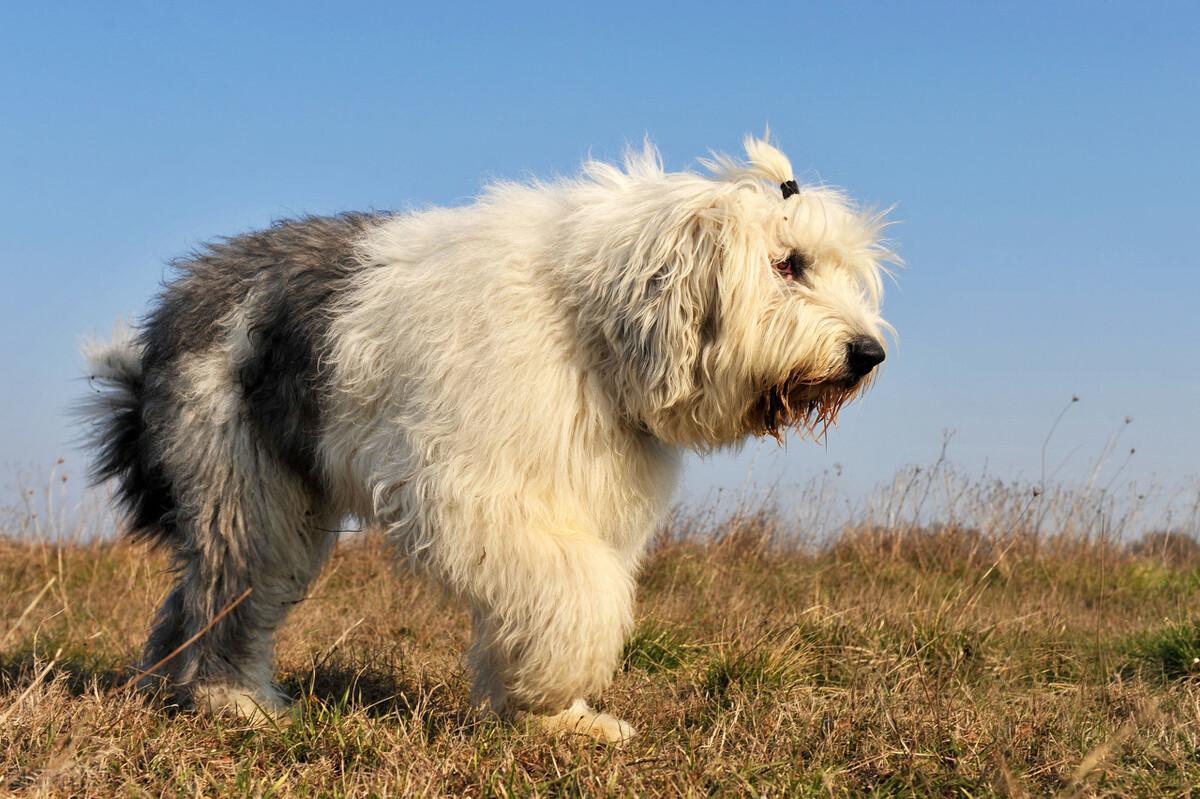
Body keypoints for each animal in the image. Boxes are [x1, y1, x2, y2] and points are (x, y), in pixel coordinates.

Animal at [79, 135, 897, 739]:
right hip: (244, 481)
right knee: (230, 586)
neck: (589, 322)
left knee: (194, 595)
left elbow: (567, 590)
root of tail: (179, 300)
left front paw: (560, 718)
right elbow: (577, 590)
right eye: (787, 264)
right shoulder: (475, 489)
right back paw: (233, 701)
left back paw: (168, 687)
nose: (868, 354)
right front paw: (551, 691)